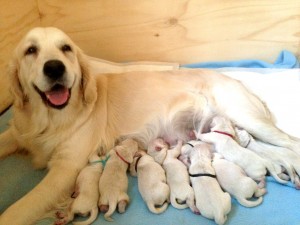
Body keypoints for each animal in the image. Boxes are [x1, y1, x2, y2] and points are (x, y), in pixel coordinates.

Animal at [0, 26, 300, 225]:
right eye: (30, 51)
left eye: (66, 49)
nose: (55, 68)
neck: (48, 120)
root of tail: (235, 79)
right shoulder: (18, 133)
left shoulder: (66, 168)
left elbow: (18, 209)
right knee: (273, 151)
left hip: (245, 116)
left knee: (291, 144)